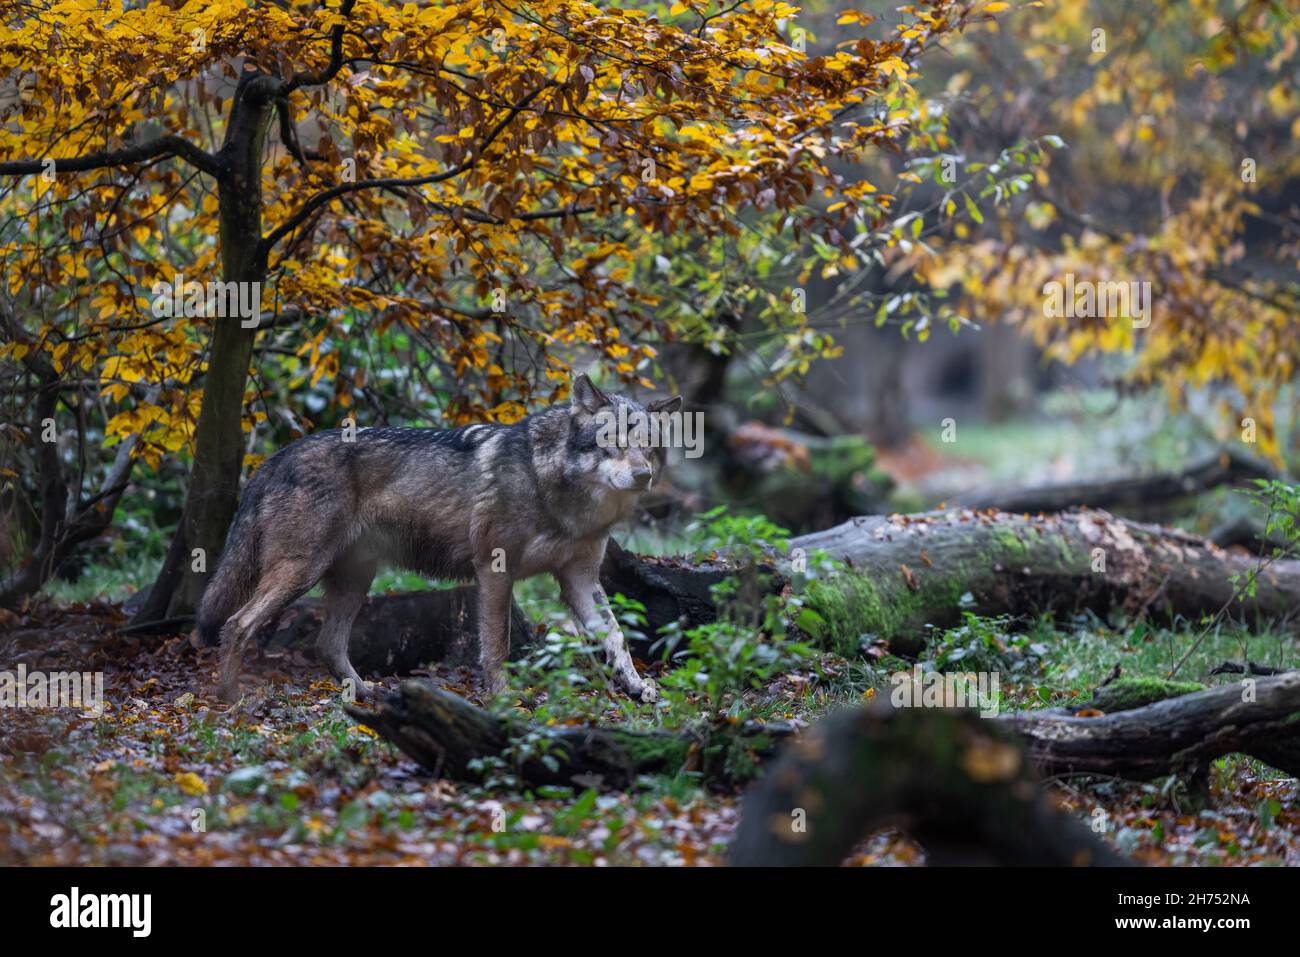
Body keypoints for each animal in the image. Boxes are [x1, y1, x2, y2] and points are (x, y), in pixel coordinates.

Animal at [196, 374, 680, 705]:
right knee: (237, 624)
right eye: (611, 442)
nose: (643, 475)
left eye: (648, 446)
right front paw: (503, 698)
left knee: (325, 643)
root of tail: (275, 457)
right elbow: (497, 646)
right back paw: (230, 698)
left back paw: (366, 695)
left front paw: (637, 686)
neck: (557, 492)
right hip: (302, 571)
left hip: (353, 580)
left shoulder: (580, 577)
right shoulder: (494, 570)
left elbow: (617, 637)